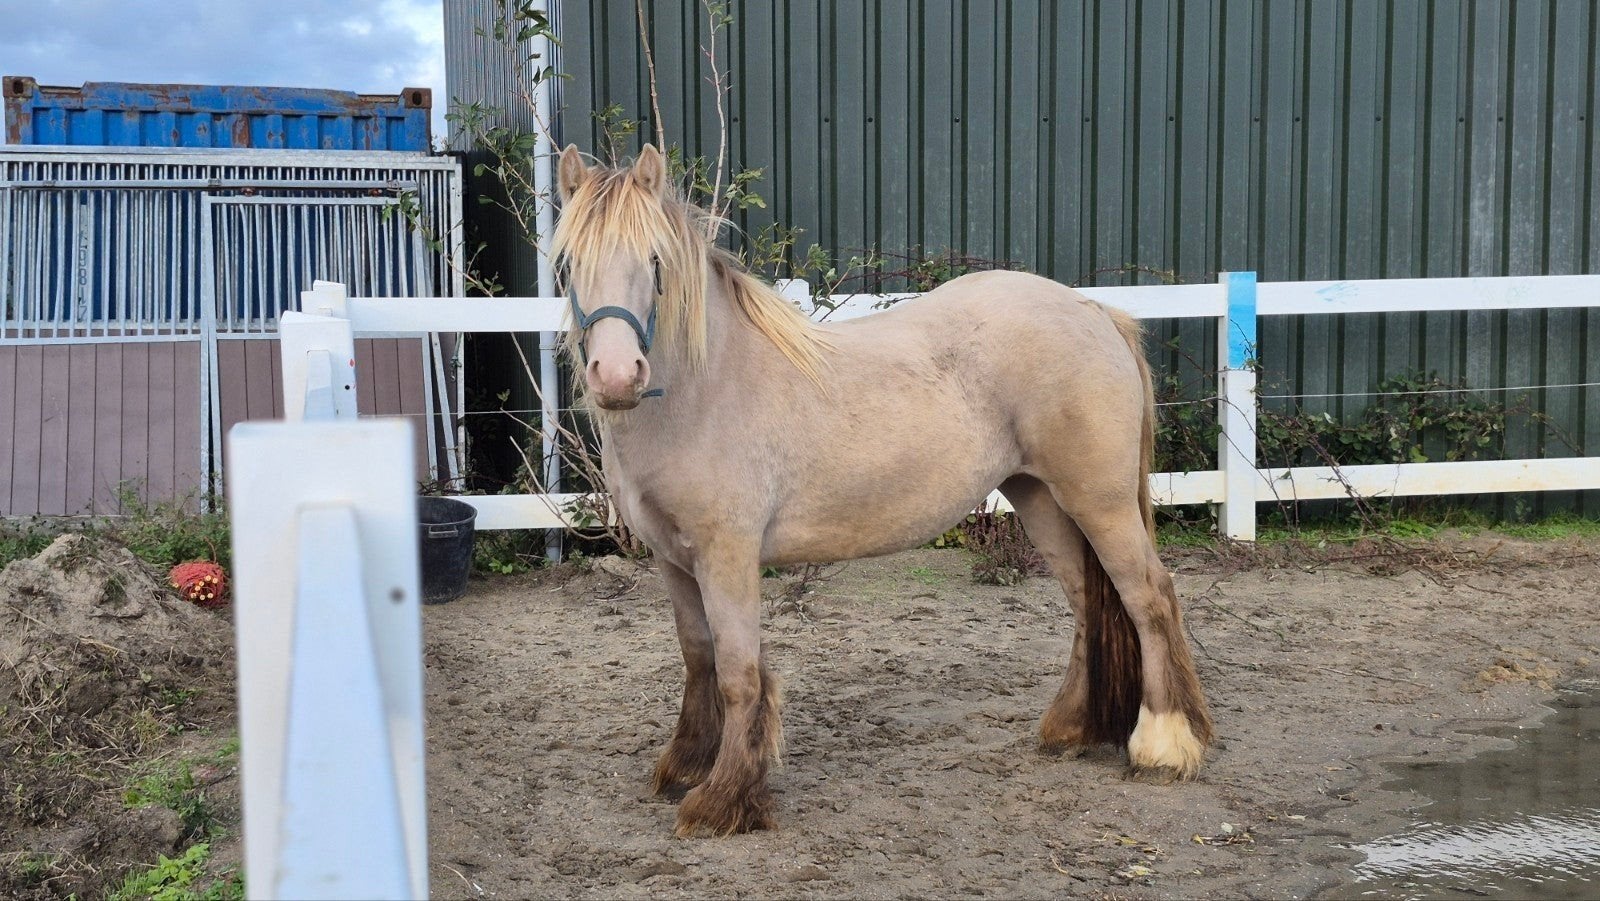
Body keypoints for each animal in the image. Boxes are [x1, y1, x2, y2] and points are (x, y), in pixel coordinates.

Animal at [550, 144, 1214, 837]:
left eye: (654, 262)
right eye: (567, 265)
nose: (617, 376)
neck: (705, 391)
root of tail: (1094, 312)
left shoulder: (726, 556)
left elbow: (736, 674)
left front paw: (725, 798)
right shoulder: (673, 560)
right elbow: (698, 657)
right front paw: (686, 766)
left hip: (1098, 501)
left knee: (1149, 597)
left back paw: (1164, 746)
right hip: (1039, 498)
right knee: (1088, 603)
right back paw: (1069, 729)